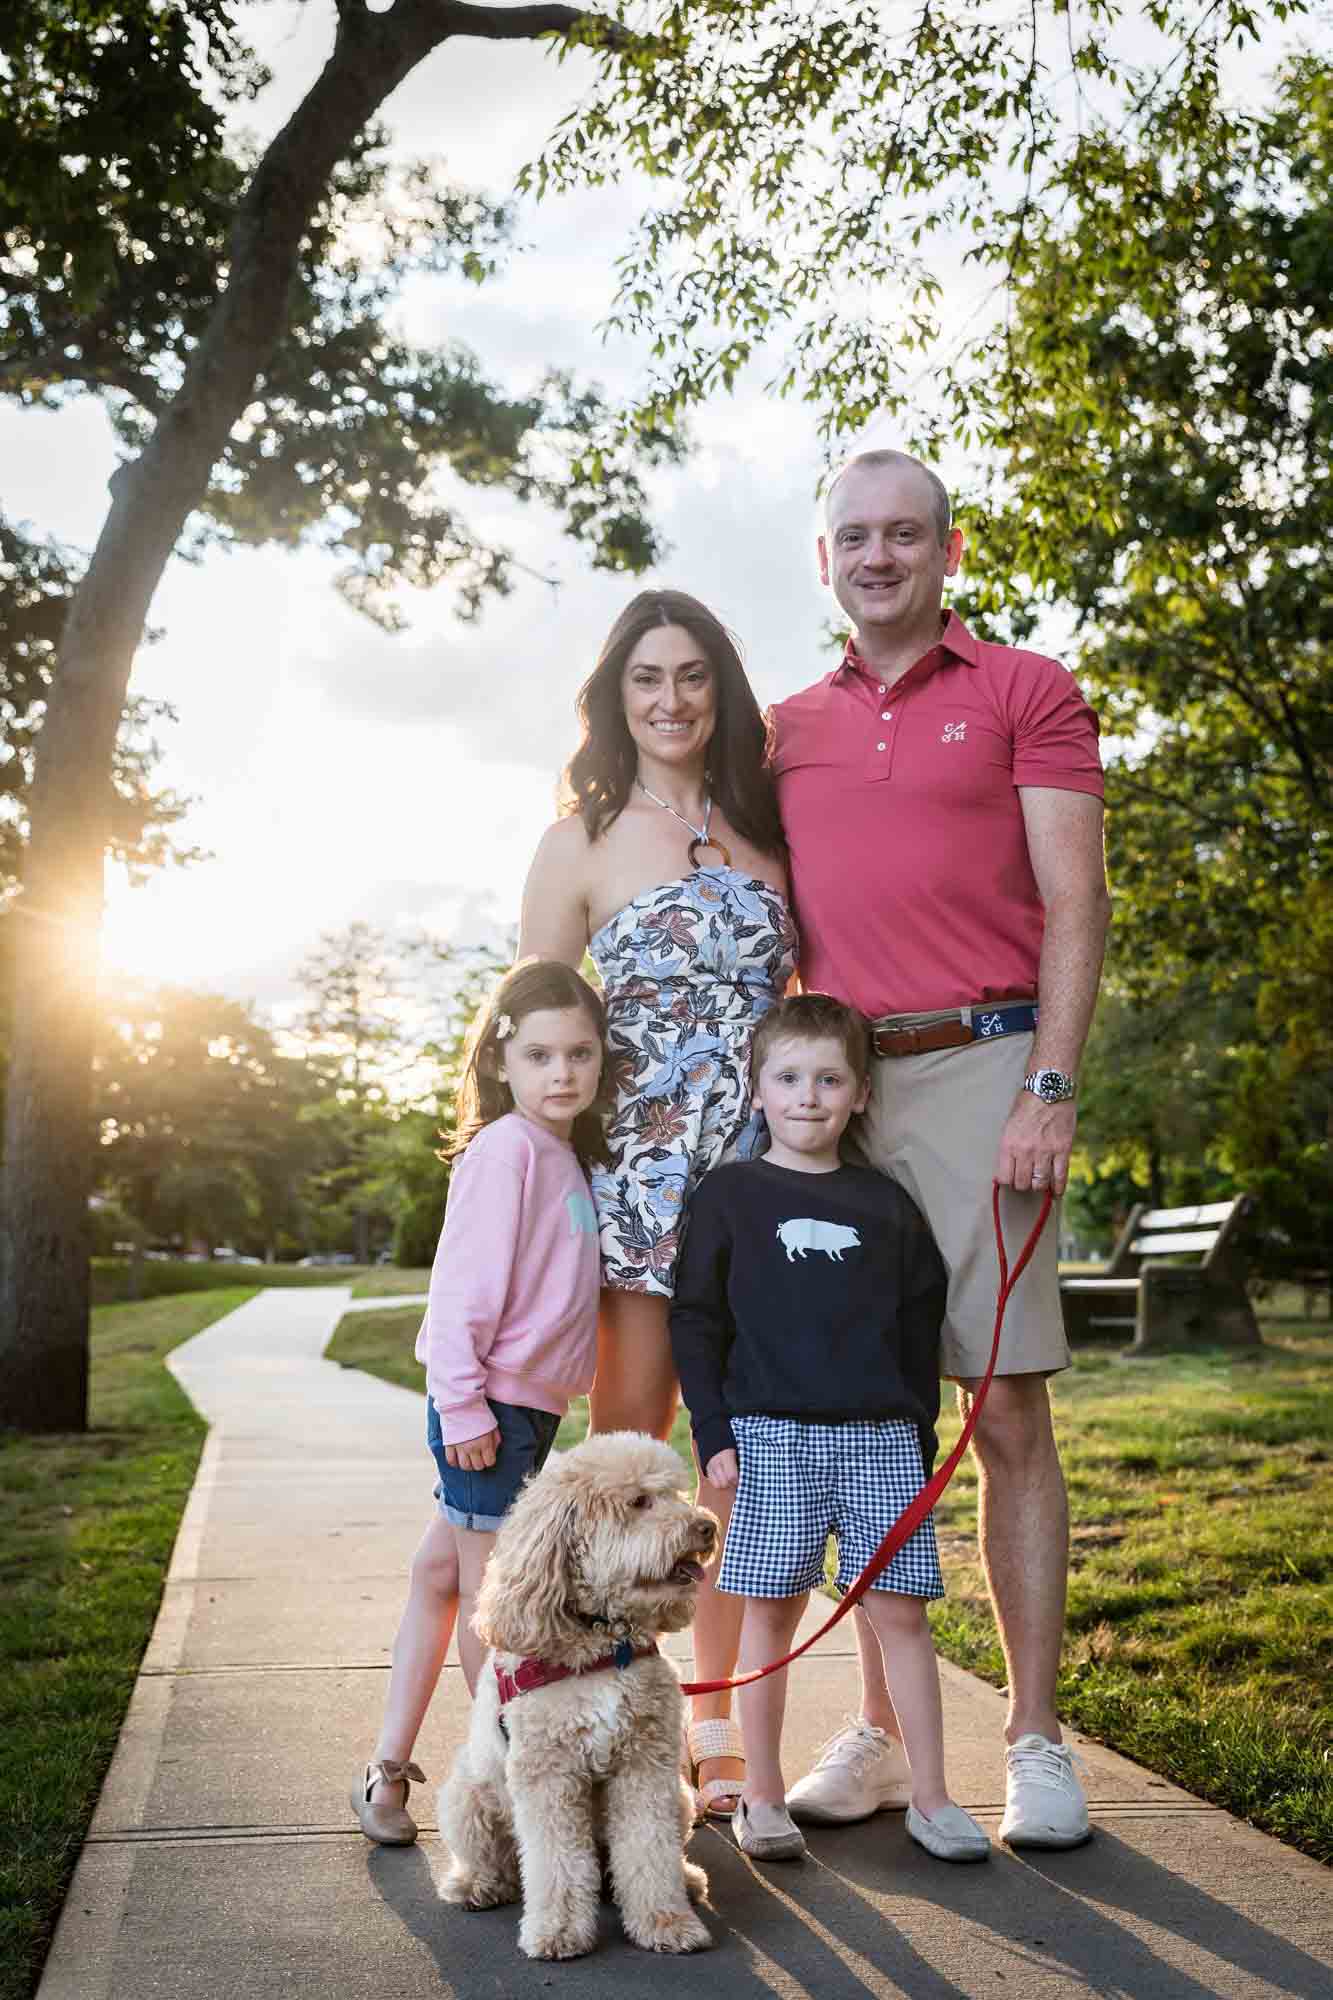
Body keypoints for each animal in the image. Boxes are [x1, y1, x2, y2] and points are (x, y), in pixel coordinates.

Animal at [438, 1432, 716, 1960]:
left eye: (675, 1492)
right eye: (640, 1501)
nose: (707, 1527)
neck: (606, 1640)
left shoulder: (645, 1766)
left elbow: (649, 1850)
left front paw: (666, 1922)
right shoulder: (549, 1775)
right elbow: (558, 1863)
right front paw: (558, 1931)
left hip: (681, 1797)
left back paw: (687, 1878)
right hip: (467, 1794)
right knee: (494, 1861)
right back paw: (475, 1885)